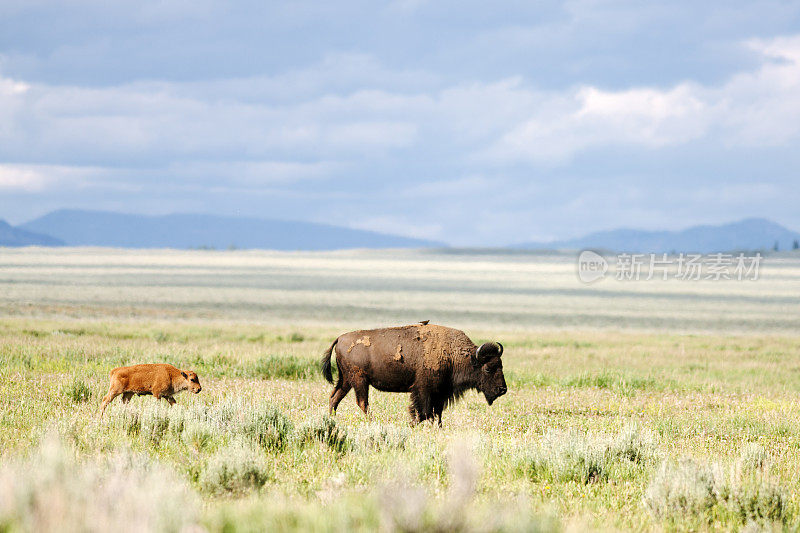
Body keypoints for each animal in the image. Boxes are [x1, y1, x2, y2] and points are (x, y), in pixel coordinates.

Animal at [320, 322, 504, 426]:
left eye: (500, 365)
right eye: (488, 368)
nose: (503, 389)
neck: (453, 354)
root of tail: (340, 338)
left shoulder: (440, 393)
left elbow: (437, 412)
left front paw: (437, 426)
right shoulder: (424, 390)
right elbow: (423, 411)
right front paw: (413, 423)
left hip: (346, 380)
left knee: (334, 397)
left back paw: (331, 419)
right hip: (359, 380)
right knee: (362, 402)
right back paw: (371, 422)